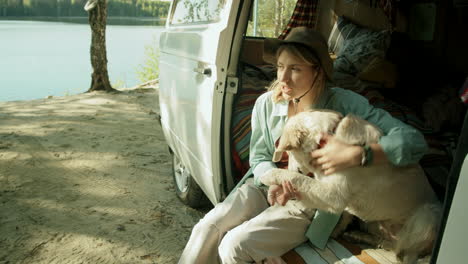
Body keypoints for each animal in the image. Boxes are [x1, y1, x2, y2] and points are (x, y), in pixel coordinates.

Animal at [262, 110, 440, 264]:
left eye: (289, 153)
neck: (327, 140)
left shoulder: (333, 194)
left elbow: (298, 178)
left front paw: (270, 175)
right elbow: (345, 214)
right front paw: (337, 231)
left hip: (427, 215)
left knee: (404, 251)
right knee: (389, 242)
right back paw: (357, 236)